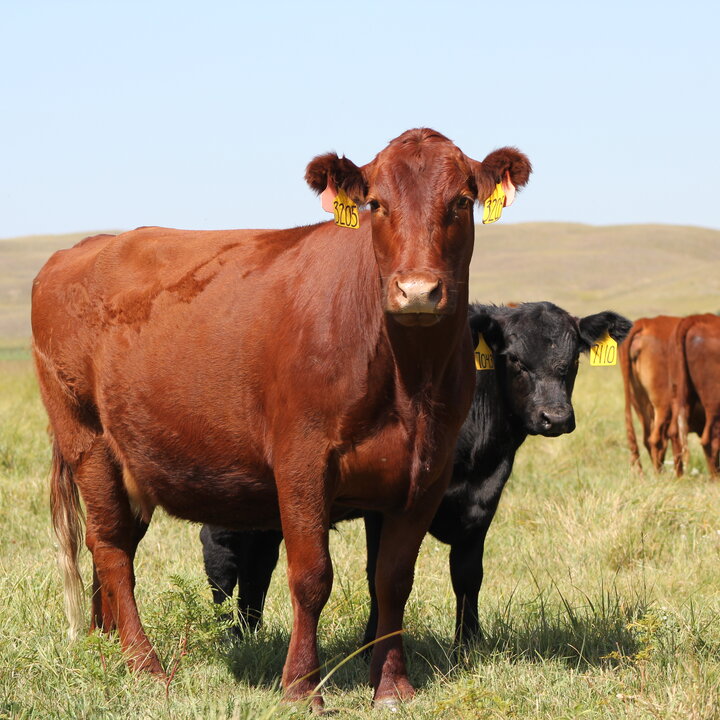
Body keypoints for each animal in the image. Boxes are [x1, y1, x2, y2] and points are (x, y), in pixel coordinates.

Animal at [31, 128, 531, 710]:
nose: (417, 291)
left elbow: (392, 579)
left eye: (460, 202)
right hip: (87, 438)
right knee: (111, 547)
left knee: (115, 547)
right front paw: (300, 687)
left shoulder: (425, 472)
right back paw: (145, 665)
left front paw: (392, 686)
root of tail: (77, 249)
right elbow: (311, 577)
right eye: (376, 204)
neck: (408, 378)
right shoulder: (302, 463)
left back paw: (106, 643)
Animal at [200, 301, 632, 649]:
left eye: (572, 361)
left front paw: (467, 644)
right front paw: (372, 646)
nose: (554, 418)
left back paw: (248, 632)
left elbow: (468, 575)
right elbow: (379, 573)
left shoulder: (484, 499)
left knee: (258, 563)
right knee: (221, 556)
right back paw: (224, 634)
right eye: (514, 359)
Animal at [669, 313, 720, 477]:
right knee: (710, 439)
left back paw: (680, 476)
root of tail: (694, 319)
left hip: (681, 394)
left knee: (674, 432)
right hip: (714, 402)